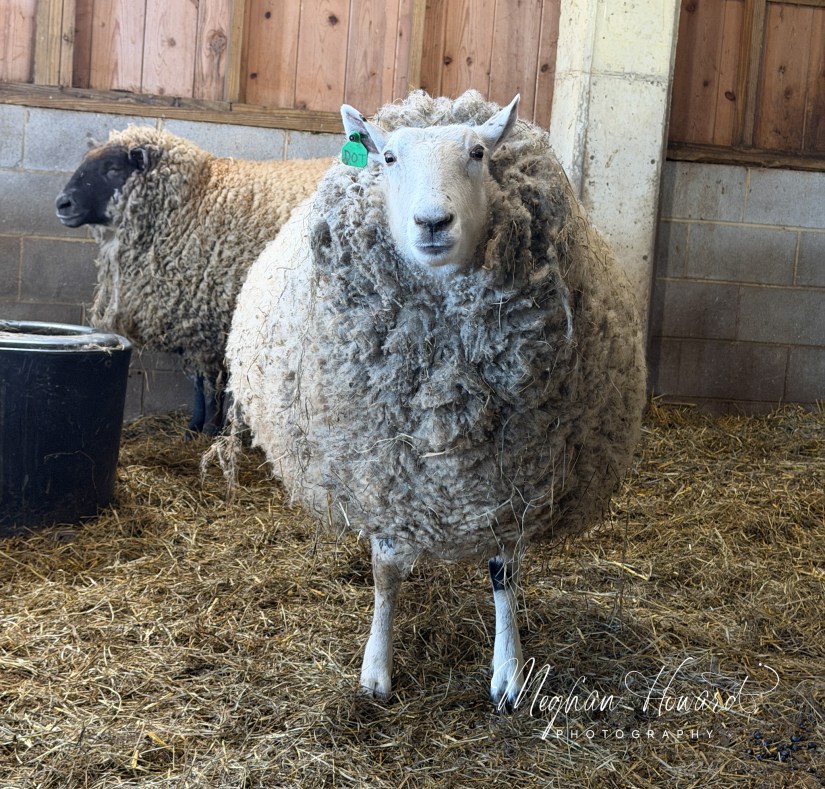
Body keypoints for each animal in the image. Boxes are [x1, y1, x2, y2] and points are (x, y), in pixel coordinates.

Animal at [55, 126, 332, 434]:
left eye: (113, 168)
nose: (62, 204)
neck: (194, 201)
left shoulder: (210, 321)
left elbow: (211, 383)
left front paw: (209, 428)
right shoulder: (193, 322)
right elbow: (199, 383)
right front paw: (194, 428)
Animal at [217, 90, 647, 708]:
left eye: (477, 153)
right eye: (389, 158)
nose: (433, 222)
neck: (449, 398)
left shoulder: (511, 484)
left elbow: (503, 576)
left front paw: (509, 672)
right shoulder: (381, 478)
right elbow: (384, 573)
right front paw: (376, 670)